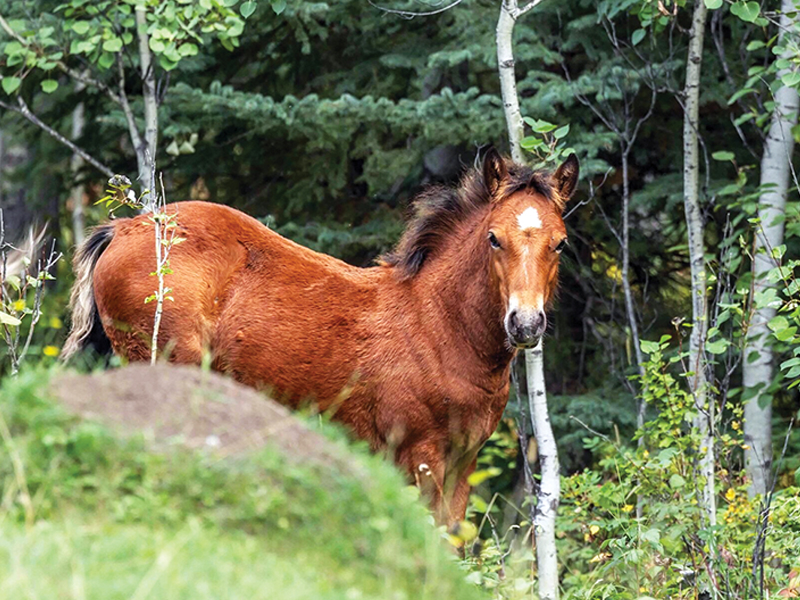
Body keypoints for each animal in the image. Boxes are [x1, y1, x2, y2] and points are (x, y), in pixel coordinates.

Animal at [62, 149, 579, 525]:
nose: (525, 324)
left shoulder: (463, 463)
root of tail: (121, 229)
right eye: (493, 238)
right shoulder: (419, 455)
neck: (440, 327)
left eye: (560, 242)